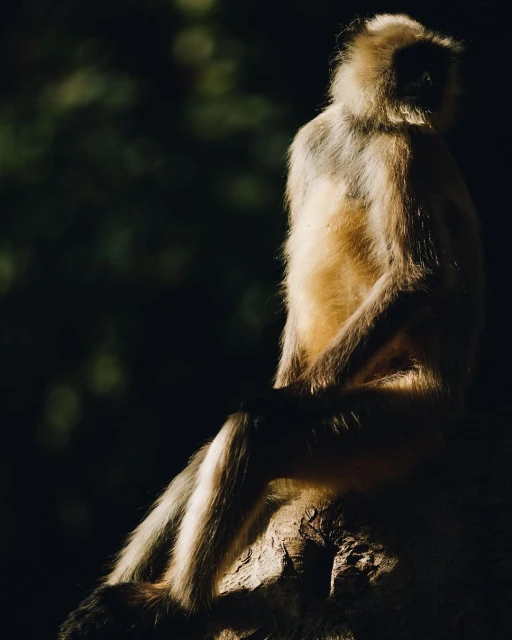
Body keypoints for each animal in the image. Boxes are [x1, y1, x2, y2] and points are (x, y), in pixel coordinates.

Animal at [59, 13, 483, 638]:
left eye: (435, 65)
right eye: (415, 64)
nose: (431, 83)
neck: (363, 128)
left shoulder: (401, 148)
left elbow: (416, 276)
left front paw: (293, 396)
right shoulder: (312, 140)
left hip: (398, 421)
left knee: (256, 429)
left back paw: (177, 604)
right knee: (209, 458)